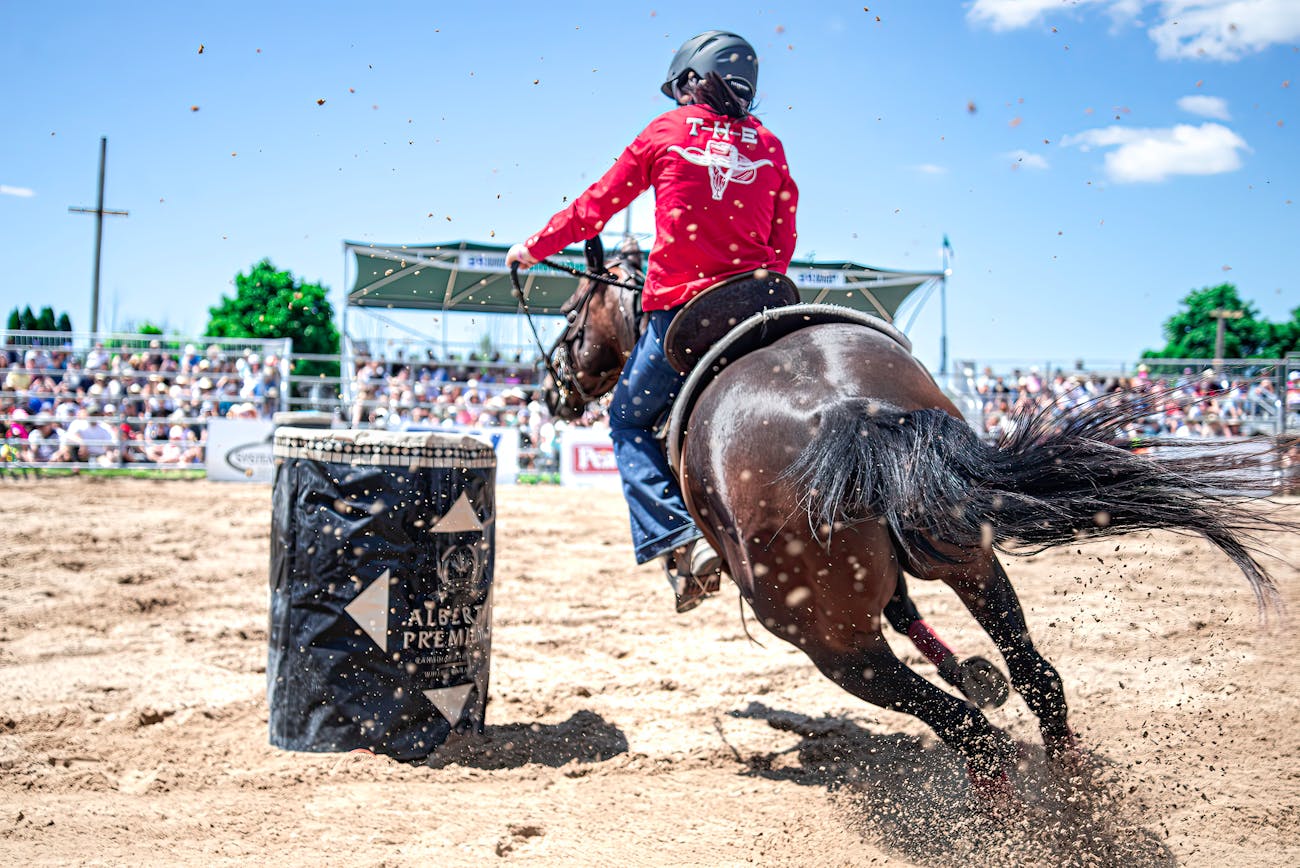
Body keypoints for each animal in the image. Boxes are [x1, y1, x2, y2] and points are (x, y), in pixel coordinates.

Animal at [535, 246, 1279, 805]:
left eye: (572, 315)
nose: (551, 390)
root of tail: (849, 411)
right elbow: (910, 611)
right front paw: (970, 668)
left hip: (829, 642)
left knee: (968, 732)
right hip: (968, 558)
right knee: (1037, 677)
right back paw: (1075, 795)